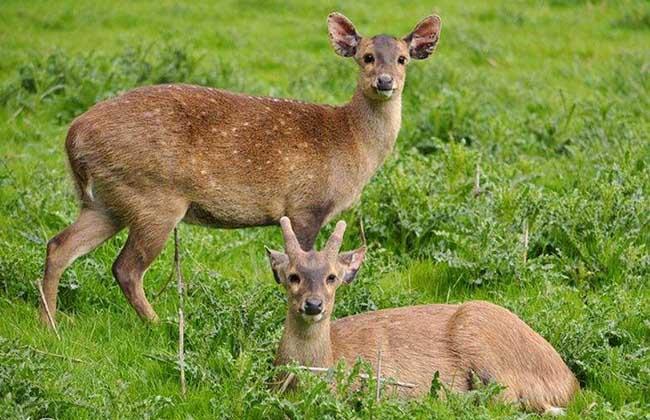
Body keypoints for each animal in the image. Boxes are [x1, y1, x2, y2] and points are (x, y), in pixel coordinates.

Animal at [39, 11, 440, 324]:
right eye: (366, 57)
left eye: (403, 58)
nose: (385, 82)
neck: (351, 142)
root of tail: (74, 135)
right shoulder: (305, 204)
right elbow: (301, 261)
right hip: (153, 196)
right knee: (125, 268)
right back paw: (160, 323)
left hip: (106, 200)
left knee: (58, 245)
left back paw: (50, 323)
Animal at [266, 217, 580, 414]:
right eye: (292, 276)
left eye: (332, 277)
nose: (313, 305)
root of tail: (570, 382)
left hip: (482, 337)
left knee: (505, 401)